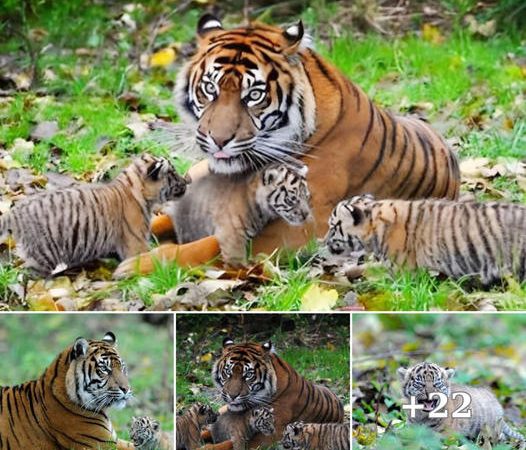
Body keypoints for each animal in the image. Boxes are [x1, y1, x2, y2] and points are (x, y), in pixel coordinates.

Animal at [116, 13, 462, 274]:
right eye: (210, 89)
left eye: (253, 95)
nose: (218, 140)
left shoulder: (298, 227)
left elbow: (205, 245)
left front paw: (135, 266)